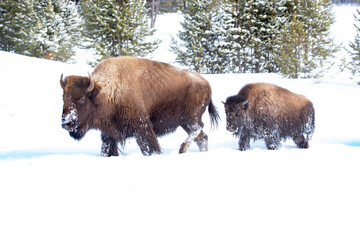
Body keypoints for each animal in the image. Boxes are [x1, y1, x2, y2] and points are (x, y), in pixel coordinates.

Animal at [59, 57, 219, 157]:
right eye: (63, 98)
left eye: (82, 99)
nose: (66, 123)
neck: (107, 91)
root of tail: (206, 83)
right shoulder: (108, 133)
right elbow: (107, 150)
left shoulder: (142, 128)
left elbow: (149, 148)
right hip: (184, 122)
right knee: (202, 137)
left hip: (190, 118)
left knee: (198, 129)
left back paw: (182, 148)